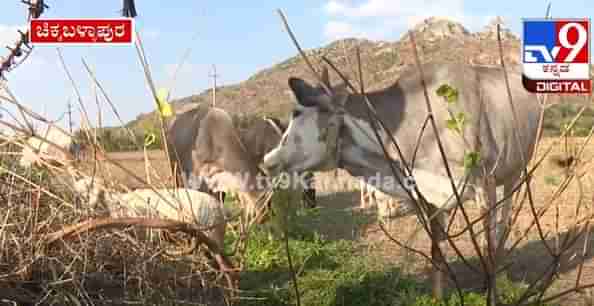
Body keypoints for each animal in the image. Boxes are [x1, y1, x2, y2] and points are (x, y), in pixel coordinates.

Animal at [264, 62, 540, 292]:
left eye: (299, 115)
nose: (268, 161)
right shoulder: (428, 197)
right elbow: (436, 252)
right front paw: (438, 296)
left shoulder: (485, 185)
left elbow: (487, 245)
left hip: (514, 172)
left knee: (503, 223)